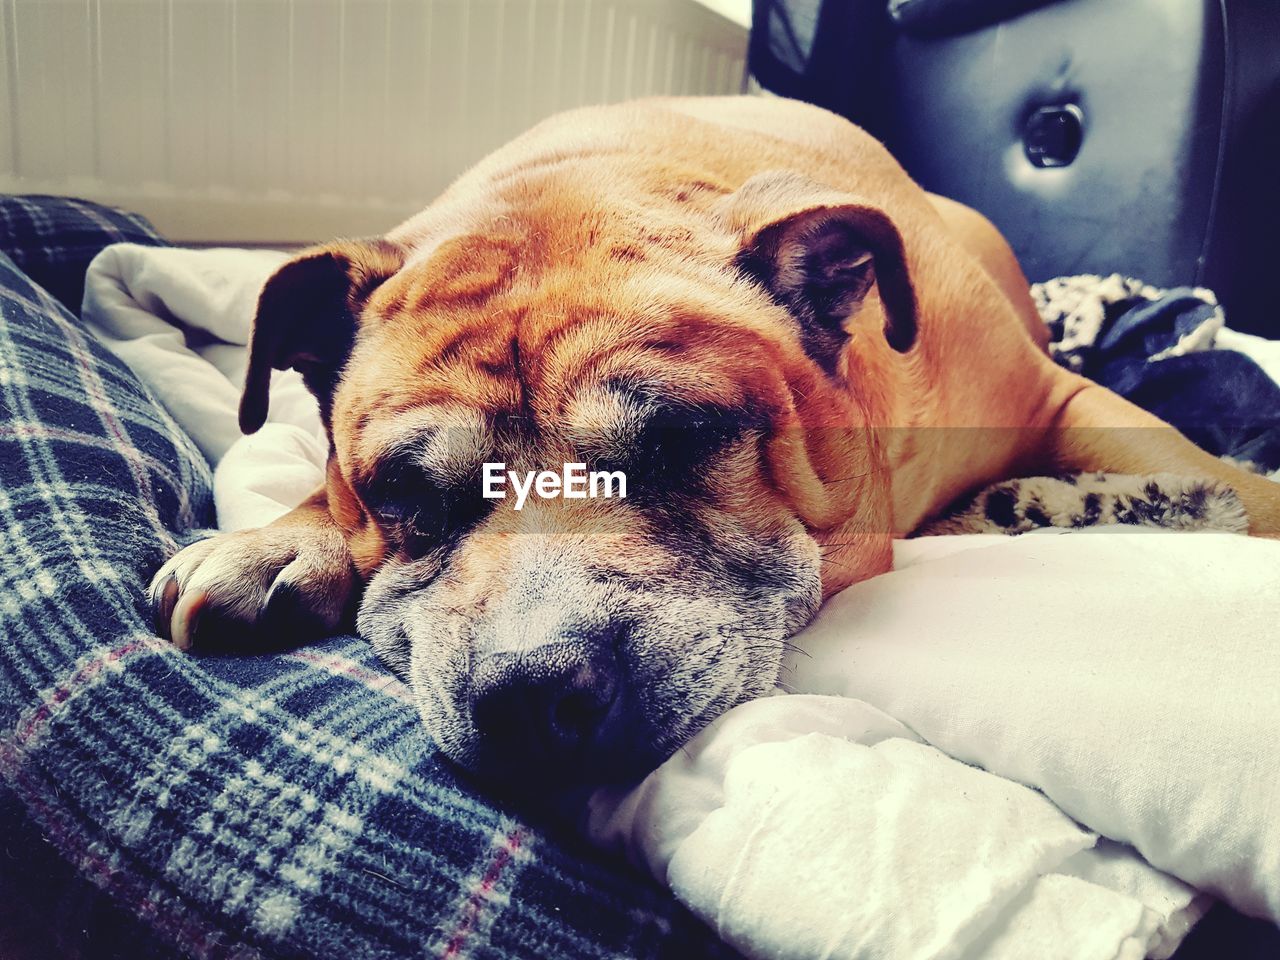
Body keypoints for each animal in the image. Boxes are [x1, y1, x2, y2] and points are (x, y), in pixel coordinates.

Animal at [149, 96, 1280, 788]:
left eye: (684, 439)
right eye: (404, 495)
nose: (531, 692)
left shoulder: (1058, 399)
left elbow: (1213, 476)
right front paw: (282, 538)